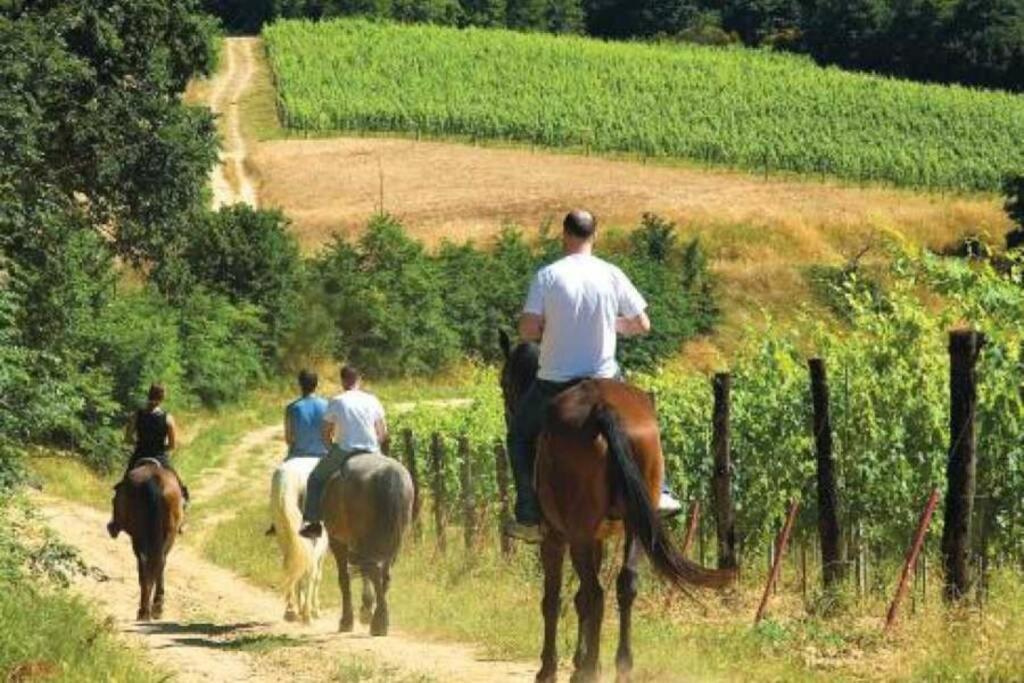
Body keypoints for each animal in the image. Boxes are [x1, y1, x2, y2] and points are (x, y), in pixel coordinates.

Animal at [111, 462, 185, 622]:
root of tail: (155, 480)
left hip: (139, 535)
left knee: (144, 562)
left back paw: (143, 611)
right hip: (169, 535)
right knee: (160, 562)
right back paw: (156, 608)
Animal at [270, 458, 325, 626]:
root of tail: (286, 480)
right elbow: (317, 576)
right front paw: (315, 610)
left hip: (285, 536)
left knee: (291, 567)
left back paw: (291, 610)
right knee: (310, 574)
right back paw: (307, 614)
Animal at [321, 454, 413, 634]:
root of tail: (389, 474)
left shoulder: (338, 542)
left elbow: (344, 578)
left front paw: (347, 621)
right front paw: (366, 608)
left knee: (373, 569)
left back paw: (378, 622)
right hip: (394, 541)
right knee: (383, 573)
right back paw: (380, 618)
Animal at [497, 333, 733, 679]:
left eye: (503, 383)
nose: (508, 414)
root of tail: (602, 407)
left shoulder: (555, 537)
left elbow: (554, 598)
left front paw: (551, 668)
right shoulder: (597, 537)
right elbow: (579, 598)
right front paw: (579, 659)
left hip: (579, 533)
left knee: (596, 593)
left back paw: (590, 672)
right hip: (636, 526)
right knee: (625, 585)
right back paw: (621, 666)